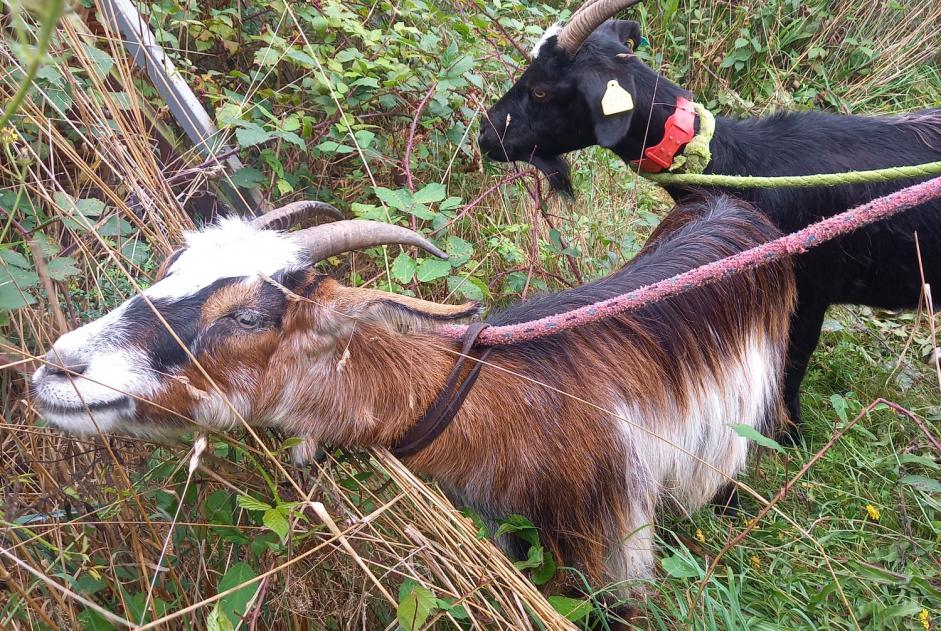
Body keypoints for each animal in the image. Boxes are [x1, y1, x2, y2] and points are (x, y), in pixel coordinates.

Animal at [29, 195, 792, 596]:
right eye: (167, 272)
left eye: (246, 316)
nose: (58, 369)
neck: (513, 403)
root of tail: (734, 206)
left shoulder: (610, 551)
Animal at [478, 14, 940, 440]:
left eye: (542, 90)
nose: (486, 134)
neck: (746, 164)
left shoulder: (809, 287)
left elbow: (793, 361)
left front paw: (788, 436)